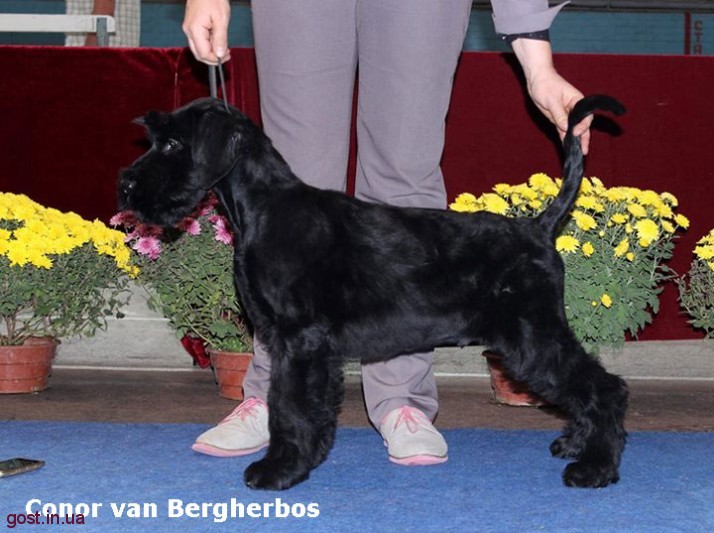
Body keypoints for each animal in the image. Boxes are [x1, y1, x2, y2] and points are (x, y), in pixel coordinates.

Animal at [119, 94, 628, 491]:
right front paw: (302, 458)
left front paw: (279, 470)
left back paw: (595, 467)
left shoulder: (300, 341)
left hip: (531, 335)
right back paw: (576, 444)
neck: (264, 209)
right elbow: (299, 405)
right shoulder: (290, 343)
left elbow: (290, 407)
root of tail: (539, 228)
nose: (125, 184)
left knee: (604, 387)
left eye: (172, 143)